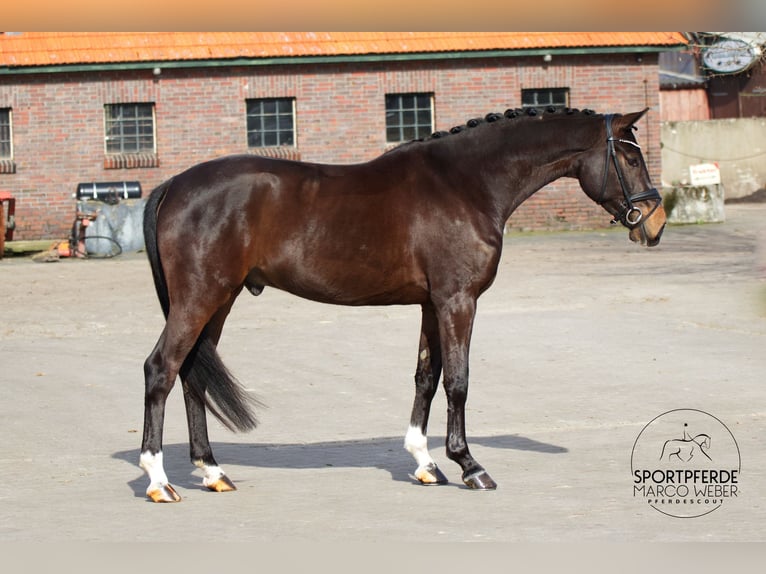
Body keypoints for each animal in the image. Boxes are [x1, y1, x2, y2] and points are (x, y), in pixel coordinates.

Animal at [141, 108, 668, 504]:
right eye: (629, 156)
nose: (656, 222)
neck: (465, 183)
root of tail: (173, 185)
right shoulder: (458, 301)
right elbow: (458, 382)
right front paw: (470, 466)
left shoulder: (432, 305)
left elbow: (426, 378)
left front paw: (426, 462)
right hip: (200, 297)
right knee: (161, 369)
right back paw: (159, 481)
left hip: (219, 301)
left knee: (191, 374)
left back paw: (212, 472)